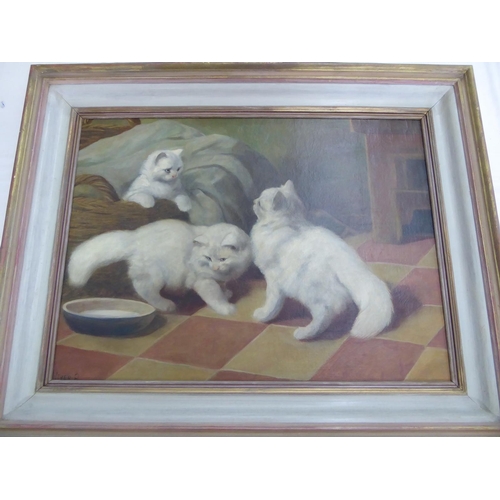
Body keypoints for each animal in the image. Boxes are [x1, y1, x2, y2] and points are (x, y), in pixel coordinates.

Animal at [67, 220, 252, 315]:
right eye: (208, 258)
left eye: (222, 259)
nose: (214, 268)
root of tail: (134, 238)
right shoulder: (203, 281)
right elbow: (215, 296)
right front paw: (226, 308)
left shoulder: (220, 278)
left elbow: (222, 286)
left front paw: (226, 292)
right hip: (155, 277)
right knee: (144, 290)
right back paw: (166, 305)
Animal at [251, 180, 393, 340]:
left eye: (260, 203)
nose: (253, 201)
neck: (291, 224)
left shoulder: (273, 279)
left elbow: (271, 302)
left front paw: (263, 316)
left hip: (309, 290)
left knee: (325, 312)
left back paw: (304, 334)